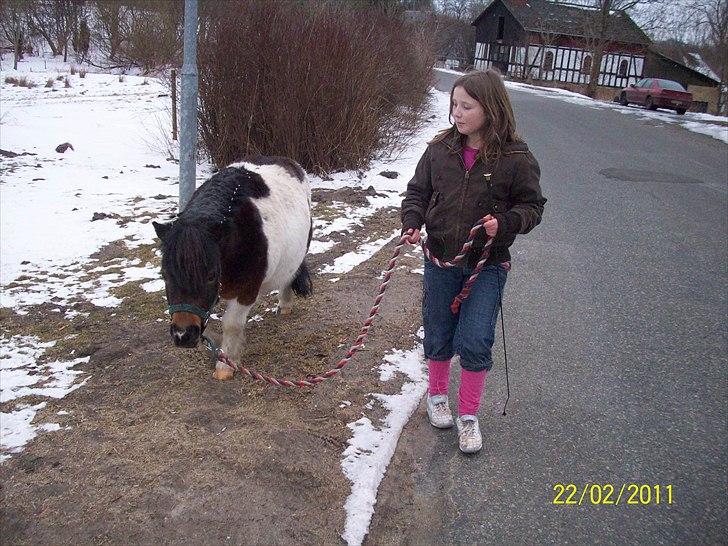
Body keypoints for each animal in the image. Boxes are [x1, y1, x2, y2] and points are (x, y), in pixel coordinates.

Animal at [152, 155, 312, 378]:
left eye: (211, 275)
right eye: (164, 274)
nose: (183, 335)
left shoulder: (247, 290)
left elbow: (231, 324)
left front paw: (226, 365)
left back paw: (285, 305)